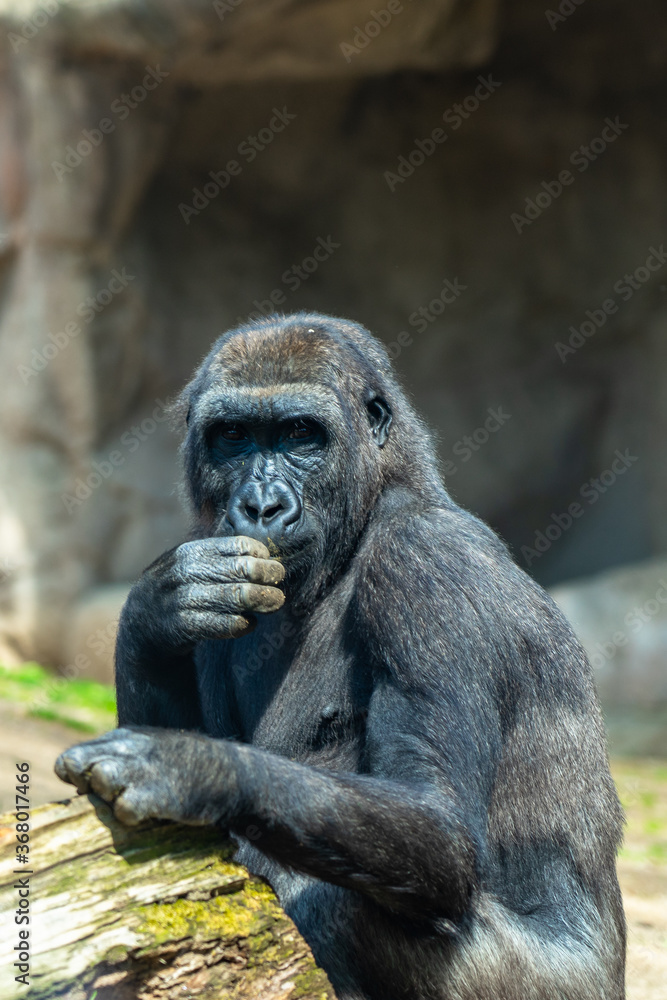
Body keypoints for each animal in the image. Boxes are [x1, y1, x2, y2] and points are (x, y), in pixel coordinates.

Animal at [56, 312, 628, 1000]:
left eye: (301, 434)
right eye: (233, 436)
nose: (262, 506)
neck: (378, 501)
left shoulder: (426, 563)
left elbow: (438, 826)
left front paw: (190, 768)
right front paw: (157, 608)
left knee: (342, 901)